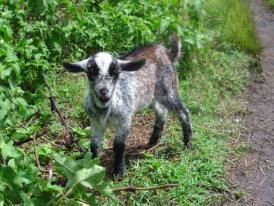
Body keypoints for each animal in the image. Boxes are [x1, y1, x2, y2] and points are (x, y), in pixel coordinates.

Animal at [63, 35, 193, 179]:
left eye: (115, 72)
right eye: (91, 72)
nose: (104, 92)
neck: (106, 110)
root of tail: (167, 52)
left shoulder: (124, 120)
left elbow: (119, 145)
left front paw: (118, 173)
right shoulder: (96, 123)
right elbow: (94, 145)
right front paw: (92, 165)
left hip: (167, 88)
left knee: (182, 112)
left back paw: (187, 143)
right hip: (151, 95)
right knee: (161, 111)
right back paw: (153, 140)